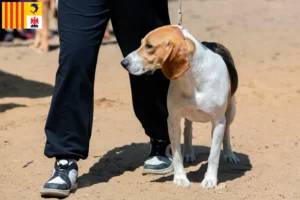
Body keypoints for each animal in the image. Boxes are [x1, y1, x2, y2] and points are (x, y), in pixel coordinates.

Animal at [120, 25, 240, 189]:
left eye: (149, 46)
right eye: (141, 43)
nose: (123, 63)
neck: (193, 79)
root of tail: (211, 43)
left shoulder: (218, 122)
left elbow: (214, 155)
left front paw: (210, 179)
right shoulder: (173, 120)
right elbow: (177, 154)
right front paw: (180, 178)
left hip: (231, 110)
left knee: (227, 131)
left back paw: (229, 154)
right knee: (188, 129)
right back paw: (189, 153)